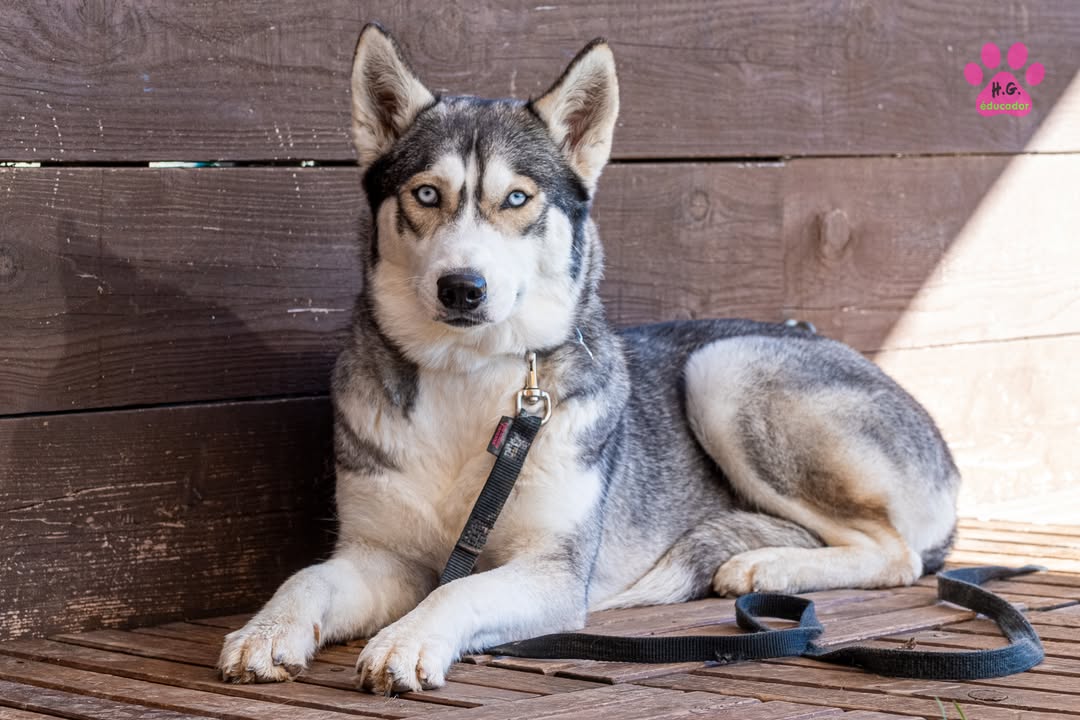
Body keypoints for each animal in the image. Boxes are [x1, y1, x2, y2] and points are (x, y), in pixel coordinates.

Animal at [218, 24, 959, 693]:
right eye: (426, 194)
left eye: (518, 198)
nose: (462, 286)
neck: (466, 372)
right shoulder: (384, 558)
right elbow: (307, 577)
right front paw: (266, 631)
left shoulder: (554, 569)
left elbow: (457, 592)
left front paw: (407, 640)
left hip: (723, 369)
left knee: (898, 554)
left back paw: (768, 568)